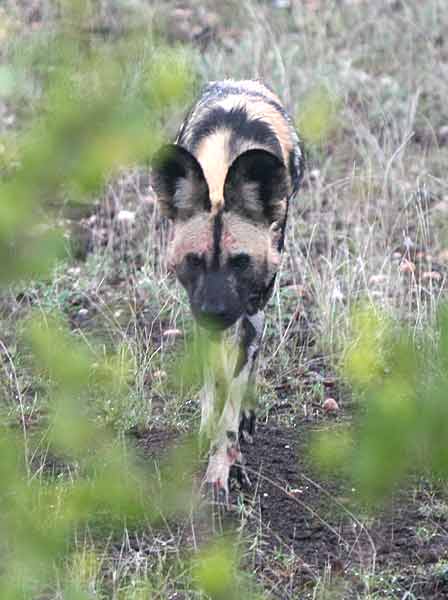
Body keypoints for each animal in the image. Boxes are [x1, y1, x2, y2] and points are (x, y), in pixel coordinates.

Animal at [151, 77, 304, 504]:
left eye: (239, 261)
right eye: (195, 260)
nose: (216, 311)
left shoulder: (251, 311)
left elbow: (233, 400)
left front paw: (223, 469)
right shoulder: (202, 312)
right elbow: (216, 378)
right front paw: (211, 434)